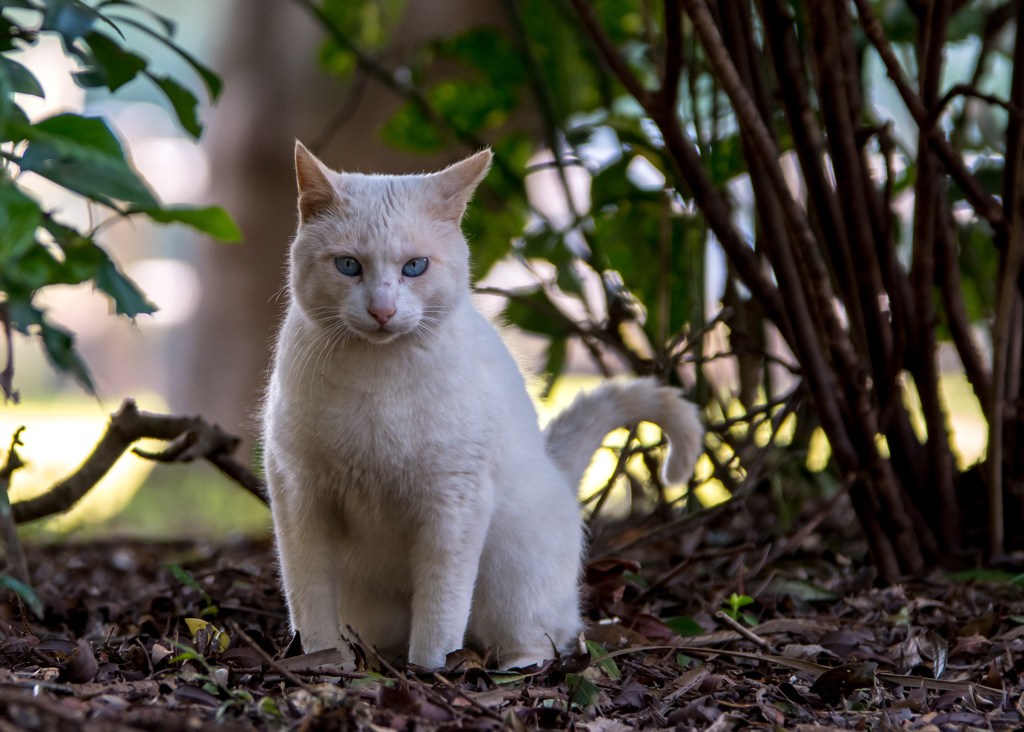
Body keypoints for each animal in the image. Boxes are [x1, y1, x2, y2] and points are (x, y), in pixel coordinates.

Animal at [264, 144, 704, 671]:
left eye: (415, 266)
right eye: (349, 265)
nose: (382, 311)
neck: (376, 383)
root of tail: (554, 467)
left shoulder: (453, 506)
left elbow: (440, 612)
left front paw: (429, 671)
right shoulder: (300, 499)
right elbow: (310, 604)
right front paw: (326, 666)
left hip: (511, 578)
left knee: (545, 637)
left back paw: (507, 669)